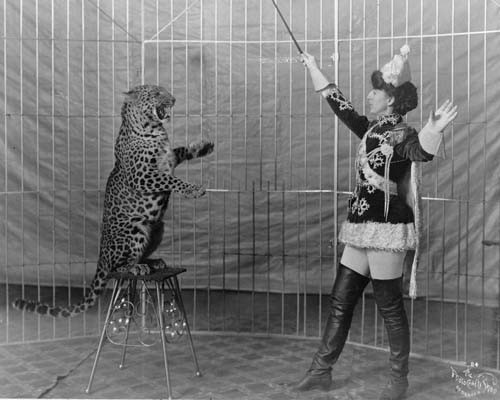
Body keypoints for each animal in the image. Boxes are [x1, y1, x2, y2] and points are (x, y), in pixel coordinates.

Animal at [13, 85, 213, 318]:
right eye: (156, 93)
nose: (173, 99)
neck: (154, 130)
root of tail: (101, 256)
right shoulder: (142, 176)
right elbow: (171, 180)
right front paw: (193, 189)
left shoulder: (169, 159)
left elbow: (180, 150)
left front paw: (204, 147)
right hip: (133, 230)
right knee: (115, 268)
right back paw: (136, 268)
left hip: (157, 227)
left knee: (134, 257)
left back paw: (152, 262)